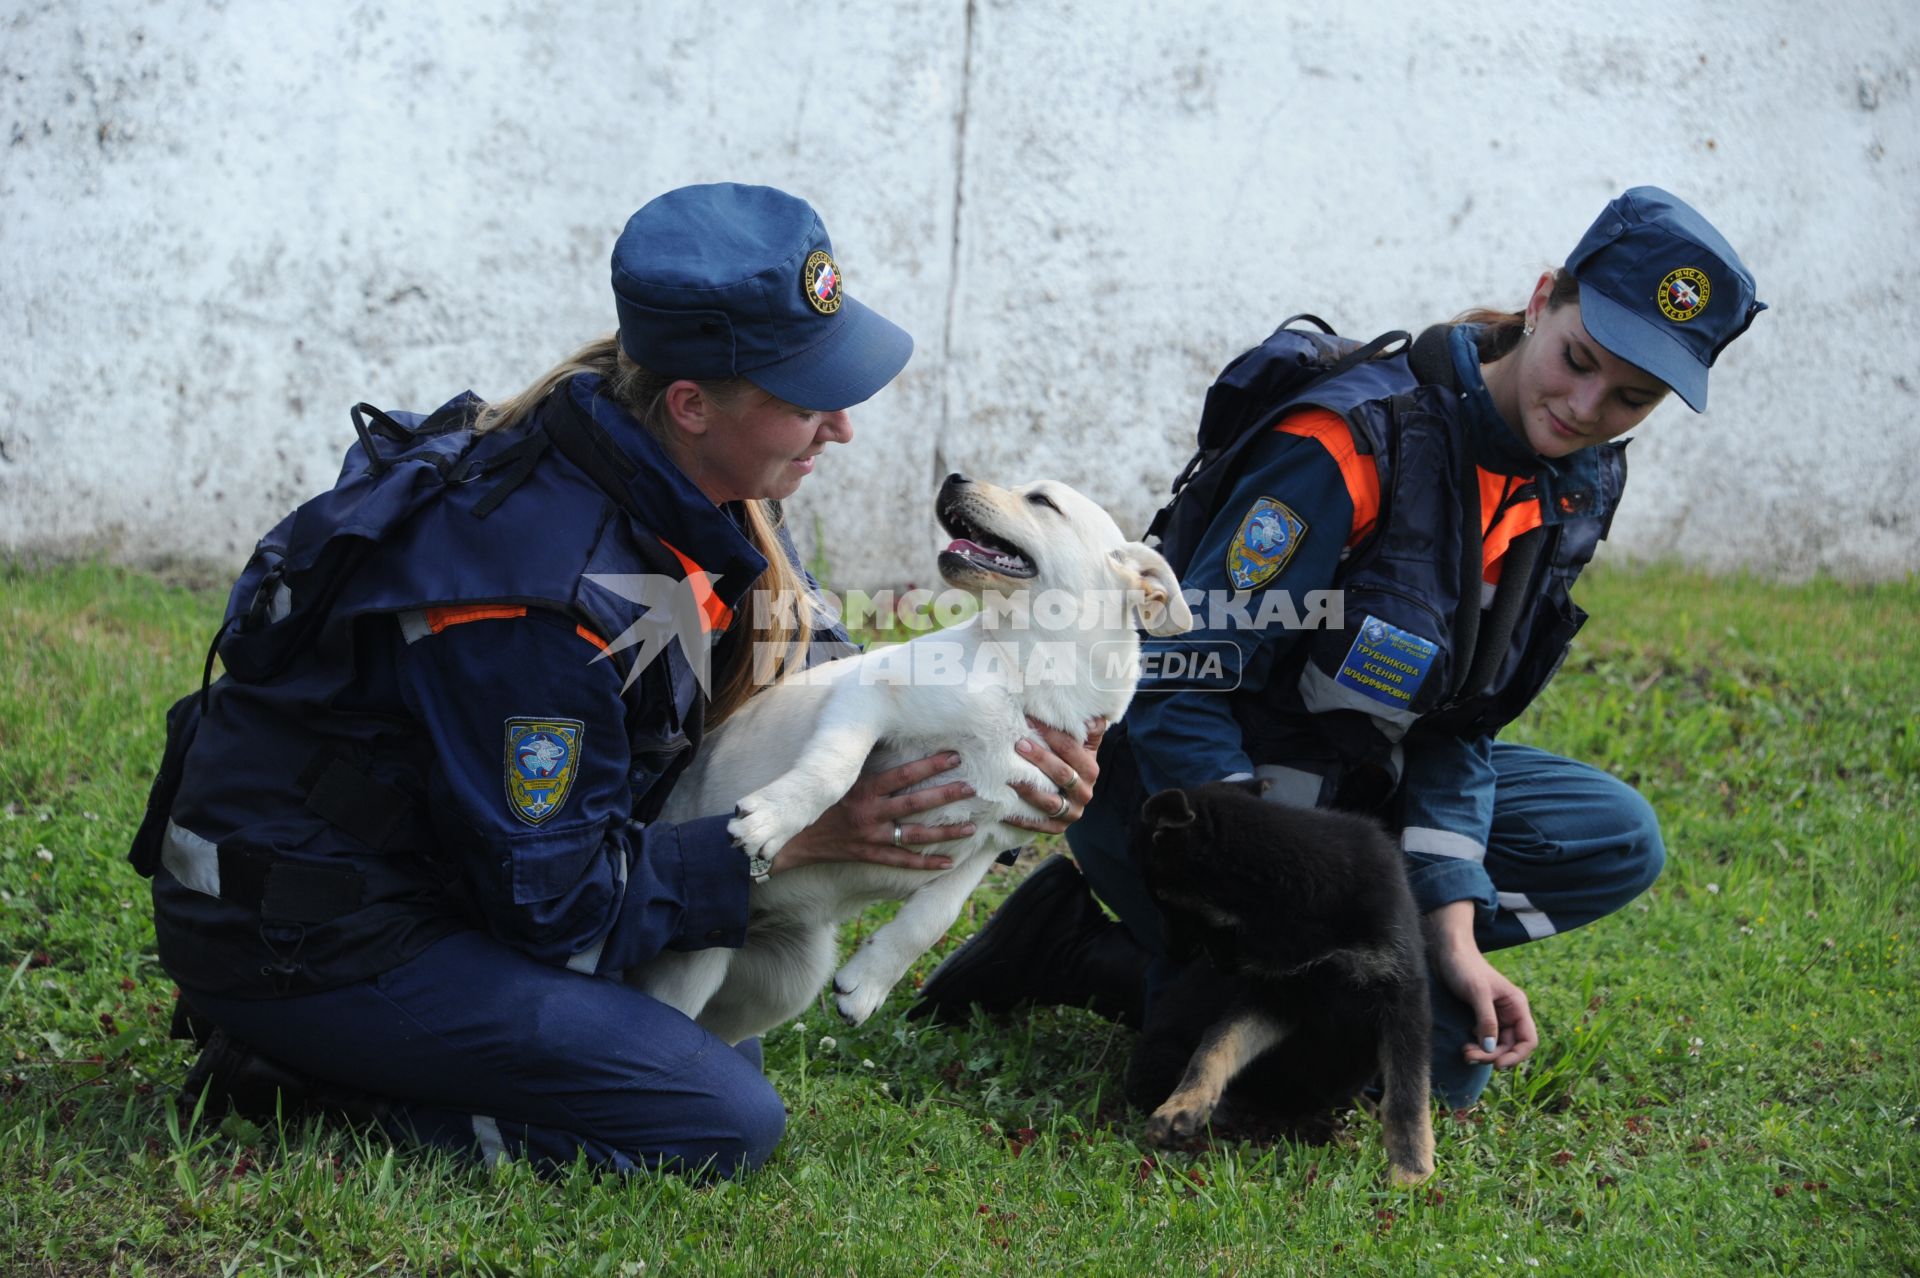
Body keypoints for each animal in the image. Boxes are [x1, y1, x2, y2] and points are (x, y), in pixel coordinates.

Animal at [629, 472, 1190, 1043]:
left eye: (1041, 501)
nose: (953, 477)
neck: (1023, 675)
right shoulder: (868, 699)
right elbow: (833, 773)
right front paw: (773, 819)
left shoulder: (993, 839)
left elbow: (933, 917)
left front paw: (867, 983)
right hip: (692, 968)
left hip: (784, 982)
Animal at [1121, 782, 1428, 1182]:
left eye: (1159, 895)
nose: (1172, 953)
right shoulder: (1276, 995)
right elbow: (1216, 1043)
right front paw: (1183, 1104)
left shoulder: (1402, 995)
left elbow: (1407, 1095)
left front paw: (1410, 1170)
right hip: (1162, 1055)